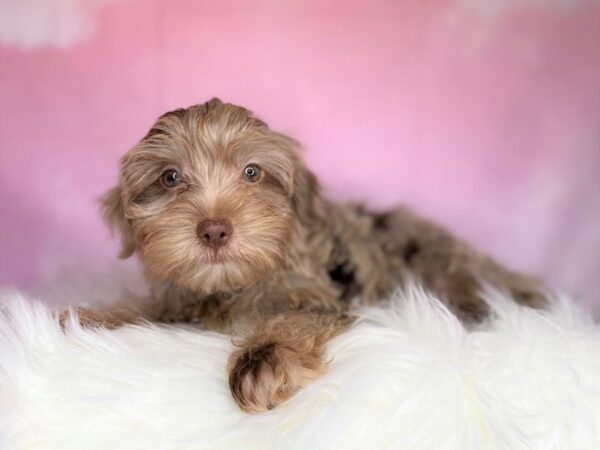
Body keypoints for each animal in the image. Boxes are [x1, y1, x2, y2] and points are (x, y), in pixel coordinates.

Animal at [64, 97, 544, 412]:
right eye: (170, 178)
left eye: (252, 173)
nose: (214, 229)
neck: (231, 286)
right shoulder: (177, 300)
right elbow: (146, 309)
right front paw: (93, 318)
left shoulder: (320, 297)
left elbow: (291, 319)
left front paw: (264, 360)